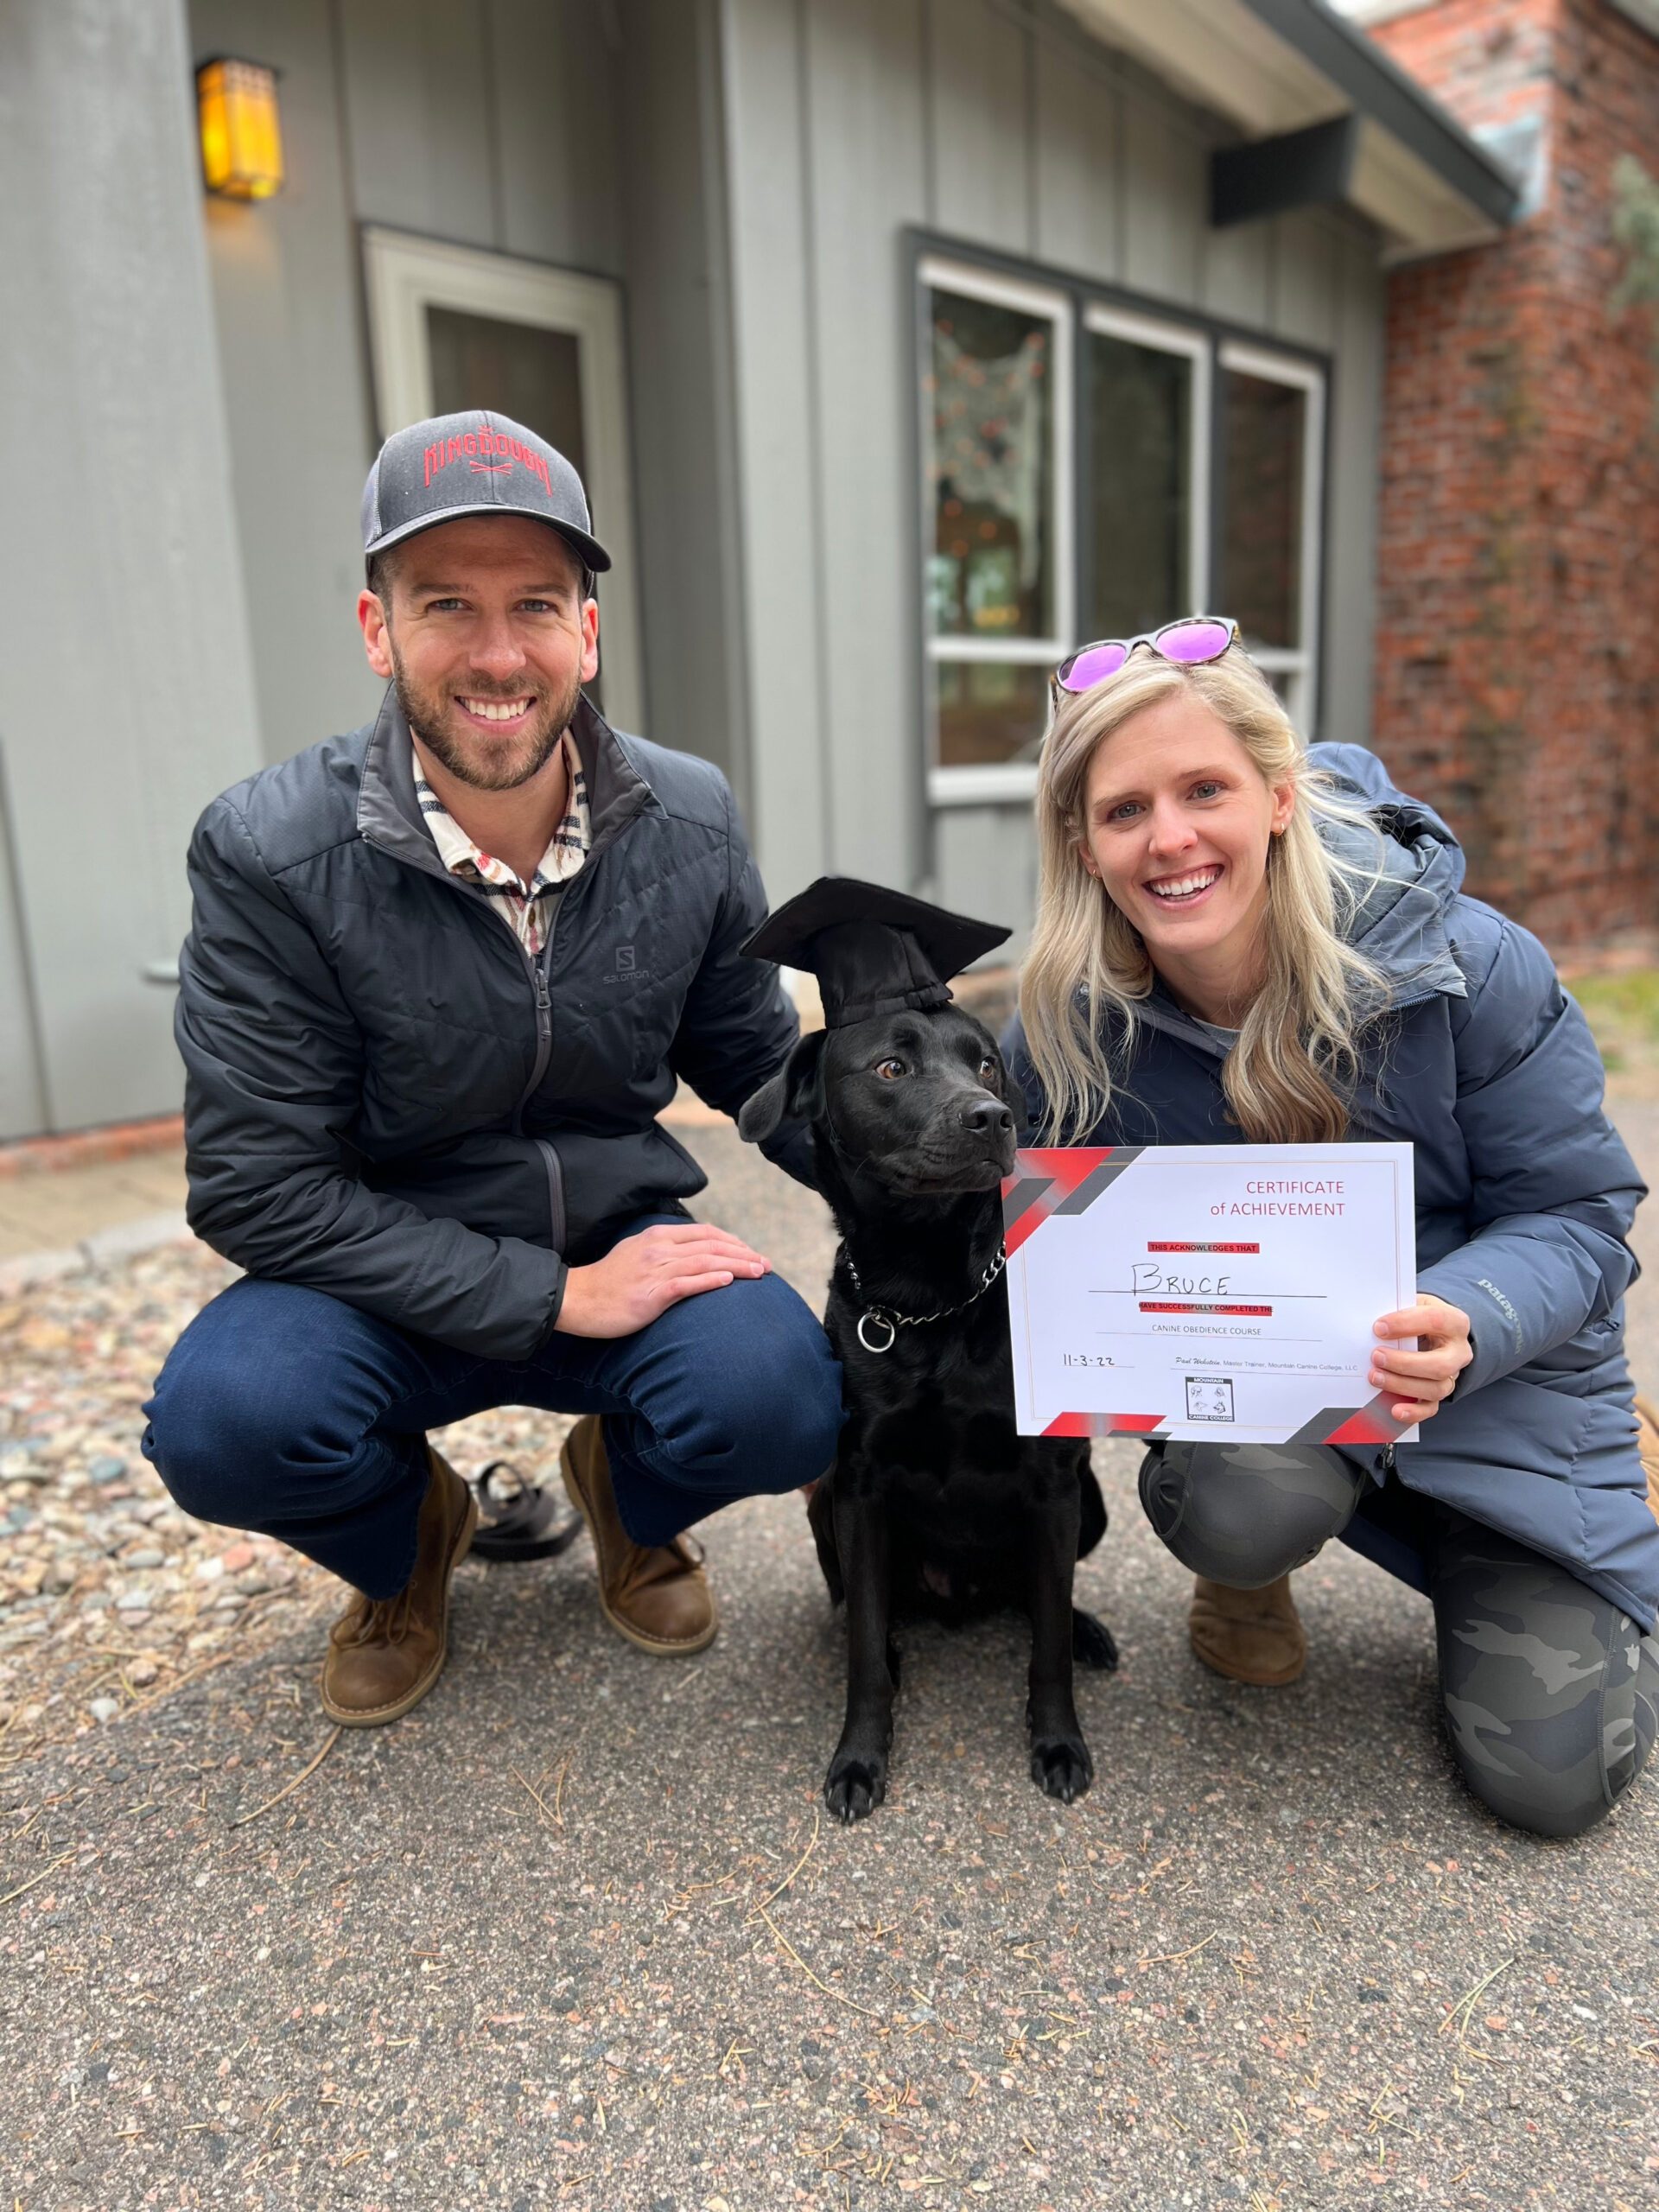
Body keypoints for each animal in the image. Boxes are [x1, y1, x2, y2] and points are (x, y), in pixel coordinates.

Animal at [739, 1000, 1119, 1814]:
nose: (992, 1117)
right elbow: (864, 1651)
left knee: (1040, 1601)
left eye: (986, 1065)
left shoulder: (1054, 1485)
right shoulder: (858, 1485)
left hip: (1091, 1502)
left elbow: (1047, 1648)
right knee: (868, 1612)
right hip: (822, 1507)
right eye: (892, 1067)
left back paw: (1085, 1630)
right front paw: (859, 1757)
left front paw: (1059, 1743)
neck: (932, 1299)